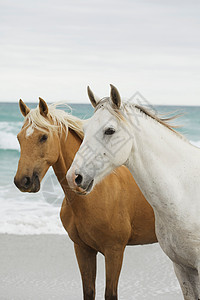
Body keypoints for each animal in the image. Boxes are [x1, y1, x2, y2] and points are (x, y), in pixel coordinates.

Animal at [14, 98, 158, 300]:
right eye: (19, 138)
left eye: (43, 137)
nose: (23, 181)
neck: (95, 195)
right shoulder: (83, 249)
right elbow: (88, 291)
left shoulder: (114, 251)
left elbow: (110, 293)